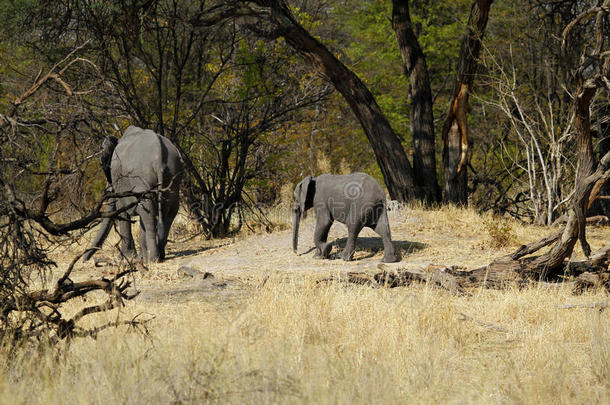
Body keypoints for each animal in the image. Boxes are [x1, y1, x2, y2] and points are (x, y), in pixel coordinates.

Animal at [83, 125, 183, 262]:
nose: (84, 260)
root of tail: (159, 156)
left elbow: (122, 211)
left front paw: (126, 257)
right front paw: (136, 257)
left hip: (142, 179)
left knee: (148, 213)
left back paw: (152, 259)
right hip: (173, 177)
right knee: (169, 211)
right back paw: (158, 255)